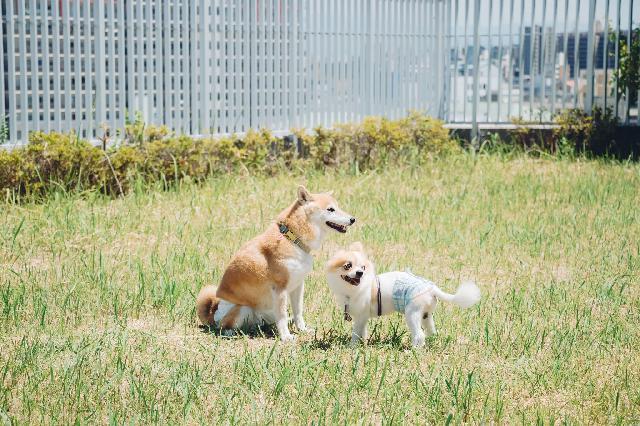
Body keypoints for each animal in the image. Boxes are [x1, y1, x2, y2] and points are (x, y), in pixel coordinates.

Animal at [324, 243, 480, 346]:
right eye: (348, 265)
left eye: (362, 267)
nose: (360, 273)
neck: (352, 289)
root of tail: (431, 288)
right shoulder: (362, 317)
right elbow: (362, 331)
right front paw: (363, 343)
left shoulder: (361, 315)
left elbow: (356, 333)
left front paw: (352, 346)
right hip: (426, 315)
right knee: (431, 330)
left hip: (412, 313)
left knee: (419, 334)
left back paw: (413, 350)